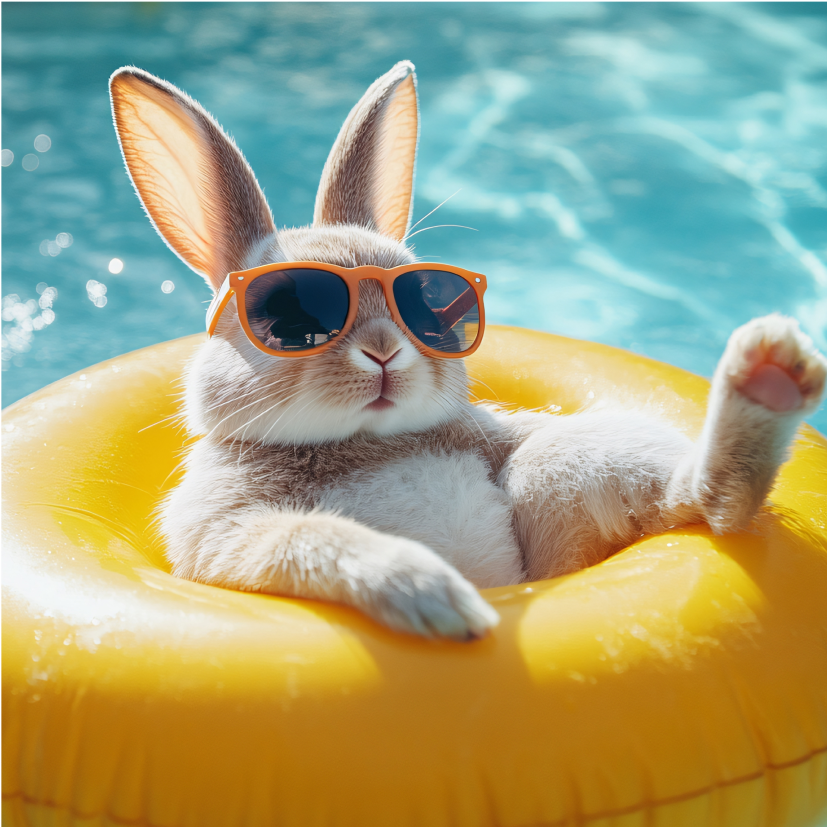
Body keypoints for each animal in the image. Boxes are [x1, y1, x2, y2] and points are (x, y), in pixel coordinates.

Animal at [110, 61, 827, 641]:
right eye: (284, 317)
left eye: (428, 305)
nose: (384, 353)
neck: (362, 442)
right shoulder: (227, 535)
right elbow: (318, 538)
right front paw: (437, 598)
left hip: (564, 463)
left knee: (703, 500)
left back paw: (770, 376)